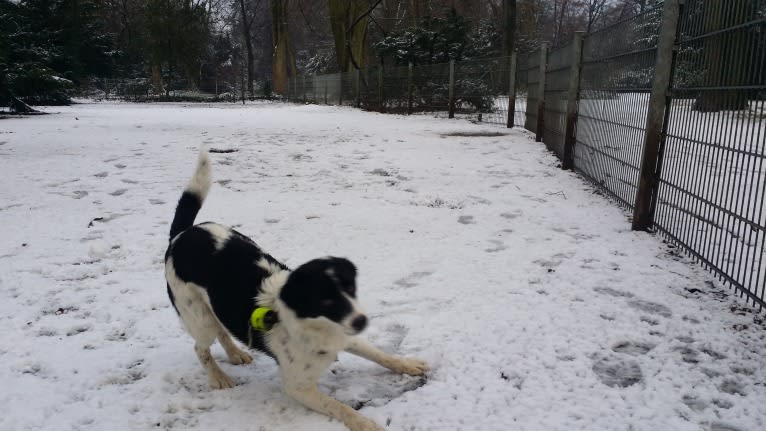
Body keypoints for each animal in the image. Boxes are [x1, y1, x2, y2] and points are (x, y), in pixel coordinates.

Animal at [165, 149, 428, 431]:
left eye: (350, 287)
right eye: (325, 300)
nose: (362, 321)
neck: (313, 324)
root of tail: (181, 235)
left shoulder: (345, 334)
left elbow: (381, 355)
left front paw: (408, 364)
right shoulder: (297, 386)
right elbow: (340, 407)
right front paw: (364, 423)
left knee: (222, 329)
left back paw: (235, 354)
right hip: (197, 316)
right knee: (201, 348)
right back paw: (218, 376)